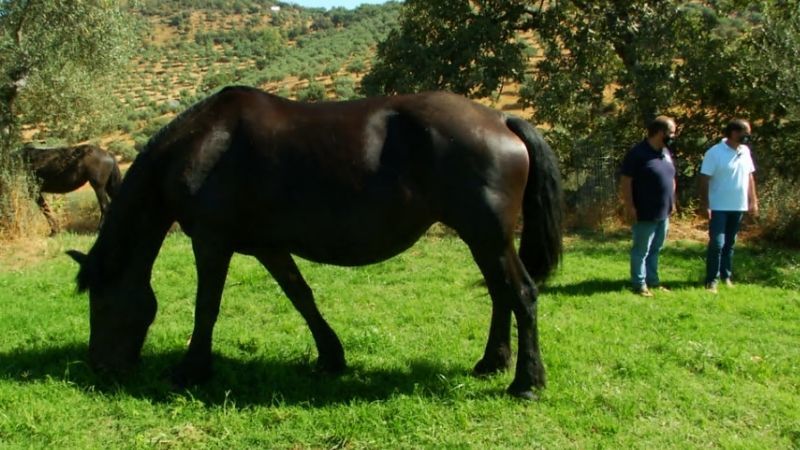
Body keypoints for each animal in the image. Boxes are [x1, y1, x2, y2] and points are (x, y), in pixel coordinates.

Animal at [67, 86, 564, 400]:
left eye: (102, 301)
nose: (99, 366)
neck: (204, 144)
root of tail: (500, 119)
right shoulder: (267, 246)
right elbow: (300, 296)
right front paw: (331, 357)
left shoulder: (211, 242)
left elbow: (206, 306)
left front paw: (192, 370)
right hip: (484, 238)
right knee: (501, 294)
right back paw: (492, 362)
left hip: (487, 236)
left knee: (522, 294)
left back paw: (526, 383)